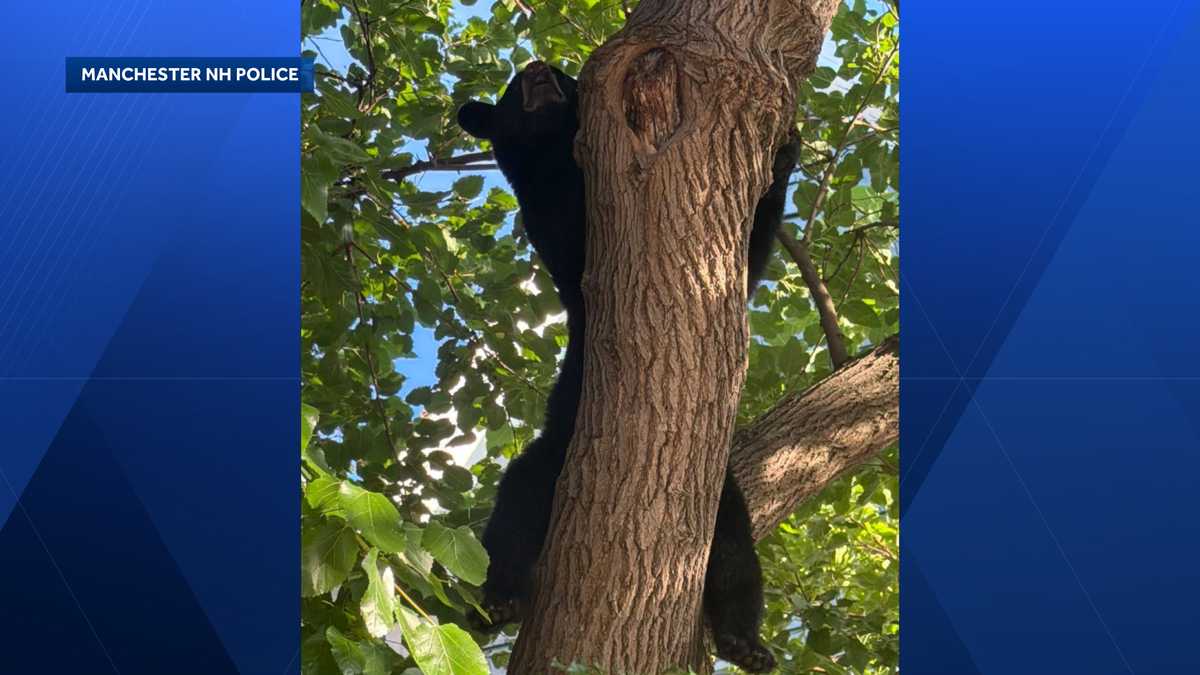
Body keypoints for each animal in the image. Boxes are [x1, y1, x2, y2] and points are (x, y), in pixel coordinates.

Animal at [458, 60, 799, 673]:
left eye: (563, 73)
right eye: (513, 84)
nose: (538, 70)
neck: (552, 156)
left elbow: (745, 265)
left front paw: (785, 153)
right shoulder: (552, 216)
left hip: (715, 496)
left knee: (732, 551)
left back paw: (744, 641)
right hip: (558, 449)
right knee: (516, 503)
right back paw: (497, 599)